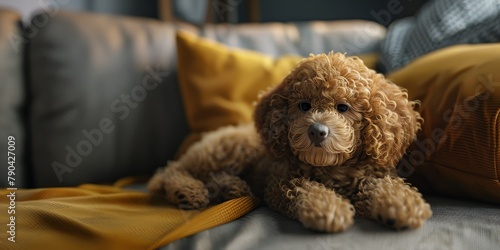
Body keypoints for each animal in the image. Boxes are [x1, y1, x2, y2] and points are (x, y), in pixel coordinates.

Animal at [147, 52, 430, 232]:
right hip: (231, 149)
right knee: (171, 171)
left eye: (343, 107)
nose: (317, 131)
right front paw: (327, 209)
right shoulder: (281, 182)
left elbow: (384, 185)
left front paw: (401, 205)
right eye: (304, 106)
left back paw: (231, 188)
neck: (331, 169)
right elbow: (307, 189)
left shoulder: (372, 175)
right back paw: (188, 191)